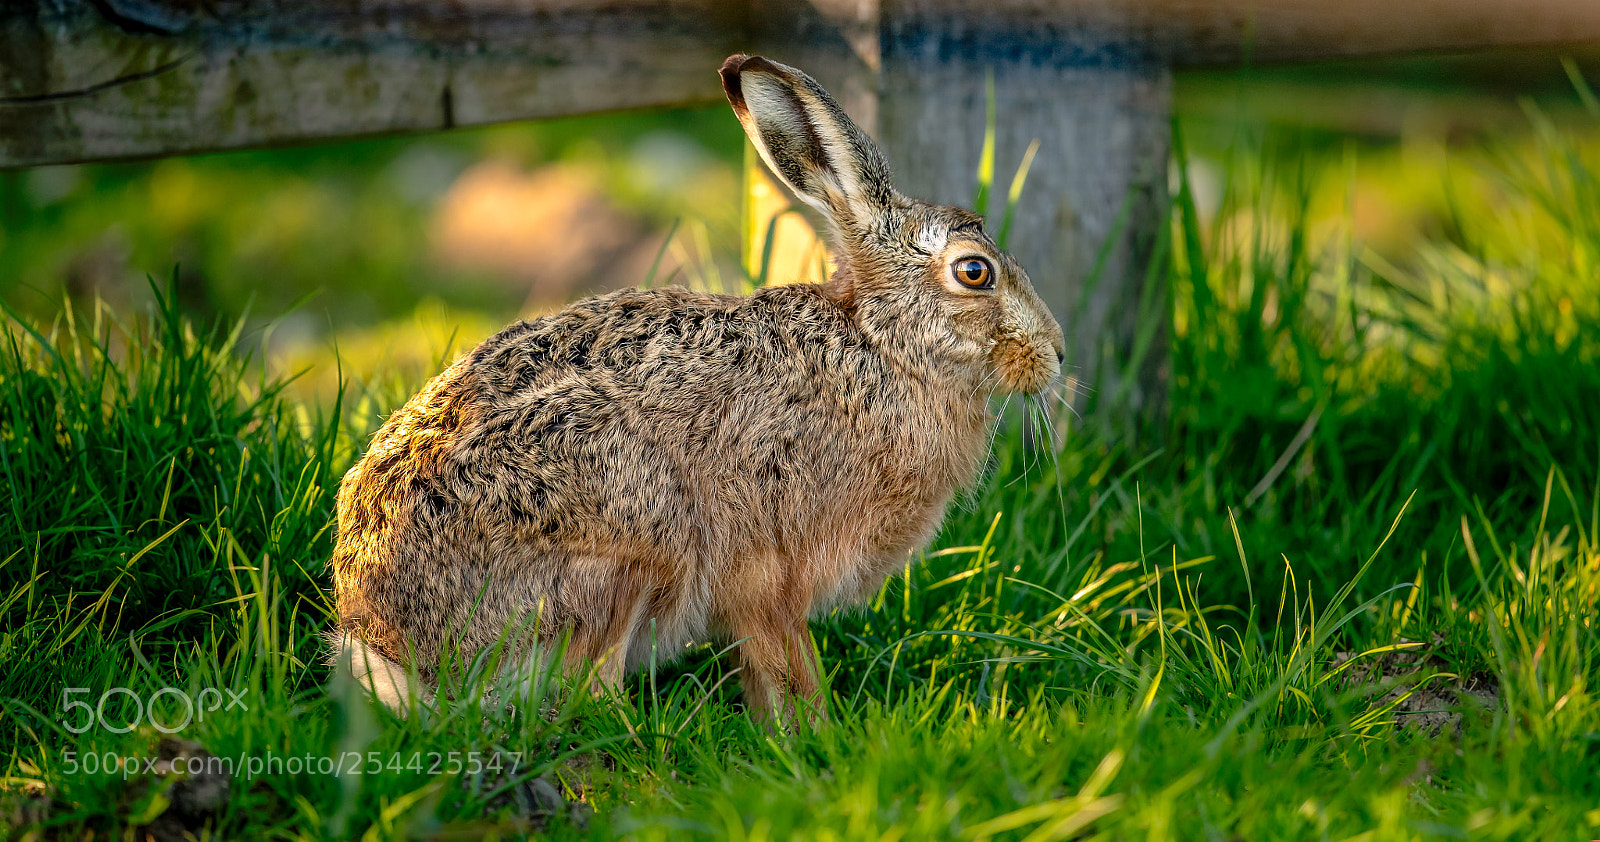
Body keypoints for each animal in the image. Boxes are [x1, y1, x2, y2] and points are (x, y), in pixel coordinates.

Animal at [328, 53, 1065, 721]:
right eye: (975, 272)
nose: (1055, 352)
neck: (885, 347)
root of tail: (394, 642)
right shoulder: (769, 570)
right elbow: (787, 663)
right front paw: (814, 736)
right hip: (627, 536)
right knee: (584, 697)